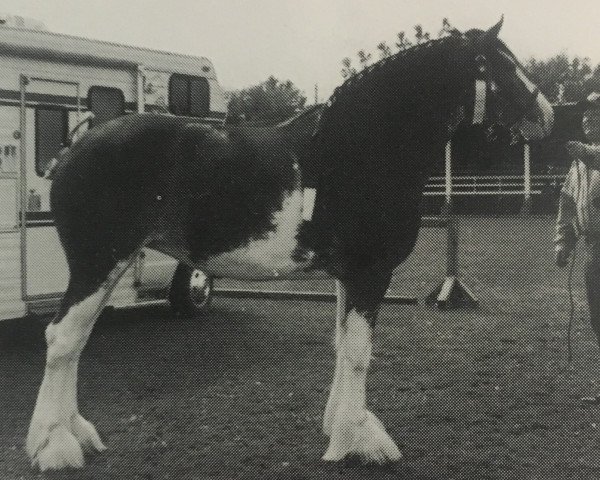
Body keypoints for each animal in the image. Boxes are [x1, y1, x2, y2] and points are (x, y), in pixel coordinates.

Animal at [24, 17, 552, 468]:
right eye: (504, 64)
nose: (546, 114)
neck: (361, 148)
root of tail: (74, 148)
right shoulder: (370, 273)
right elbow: (359, 353)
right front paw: (358, 442)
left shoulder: (348, 275)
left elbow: (342, 346)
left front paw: (341, 429)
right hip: (98, 262)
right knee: (63, 338)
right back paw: (54, 446)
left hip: (109, 266)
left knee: (75, 340)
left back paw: (76, 435)